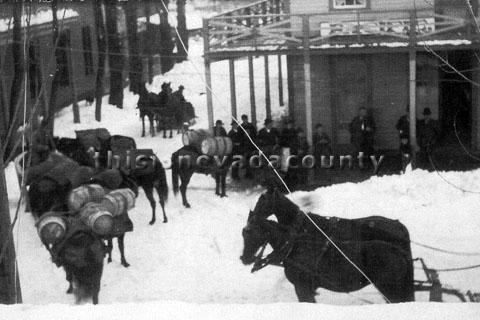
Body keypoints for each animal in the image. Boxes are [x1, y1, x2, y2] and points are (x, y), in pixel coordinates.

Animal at [242, 211, 414, 304]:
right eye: (243, 232)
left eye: (249, 232)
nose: (244, 258)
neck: (294, 245)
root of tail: (399, 251)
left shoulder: (302, 287)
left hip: (389, 287)